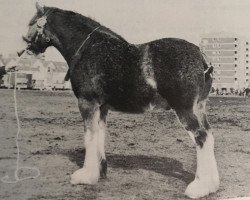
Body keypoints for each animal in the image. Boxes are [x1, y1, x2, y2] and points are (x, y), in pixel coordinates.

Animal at [20, 3, 220, 198]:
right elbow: (99, 135)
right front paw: (100, 171)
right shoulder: (102, 107)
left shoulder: (87, 103)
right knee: (209, 135)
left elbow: (89, 136)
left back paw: (198, 187)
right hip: (199, 107)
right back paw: (212, 185)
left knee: (201, 137)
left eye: (32, 23)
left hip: (184, 109)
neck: (87, 49)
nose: (27, 46)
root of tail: (200, 55)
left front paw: (85, 176)